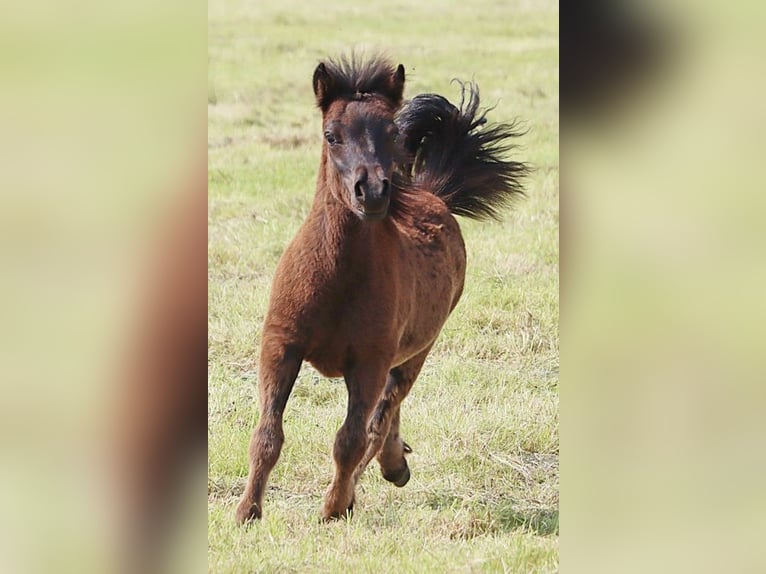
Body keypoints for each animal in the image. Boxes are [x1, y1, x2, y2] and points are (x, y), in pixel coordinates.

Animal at [237, 55, 532, 528]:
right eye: (331, 135)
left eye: (392, 132)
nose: (373, 192)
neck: (336, 280)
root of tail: (433, 195)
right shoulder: (281, 344)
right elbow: (267, 433)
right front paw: (246, 512)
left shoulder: (369, 361)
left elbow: (351, 438)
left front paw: (333, 507)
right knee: (387, 413)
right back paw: (395, 464)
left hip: (416, 350)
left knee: (384, 413)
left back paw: (385, 470)